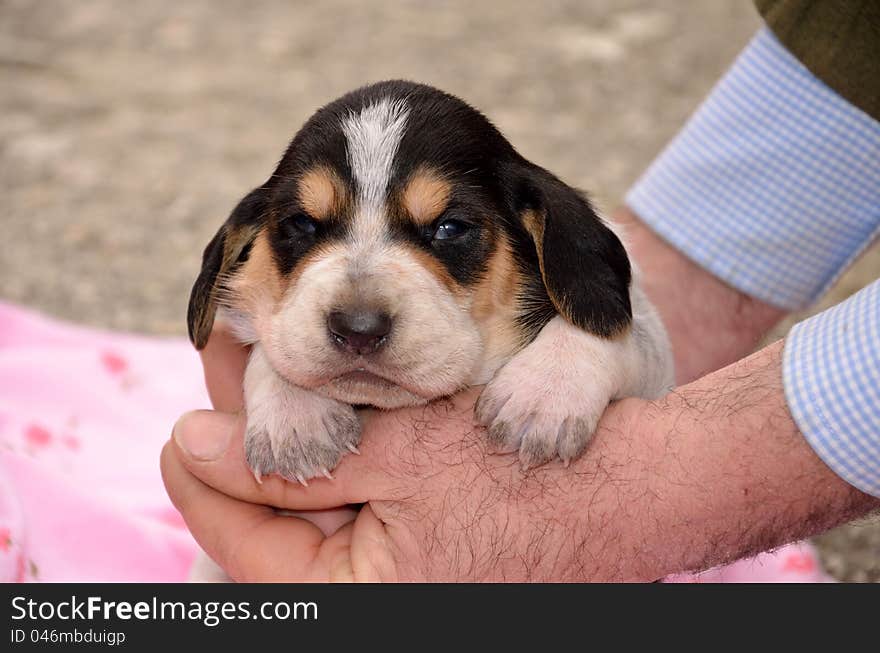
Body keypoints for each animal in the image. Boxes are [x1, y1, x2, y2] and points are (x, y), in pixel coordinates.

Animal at [189, 79, 672, 482]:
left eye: (449, 228)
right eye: (302, 224)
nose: (358, 330)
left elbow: (617, 331)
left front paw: (544, 392)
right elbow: (274, 343)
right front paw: (295, 413)